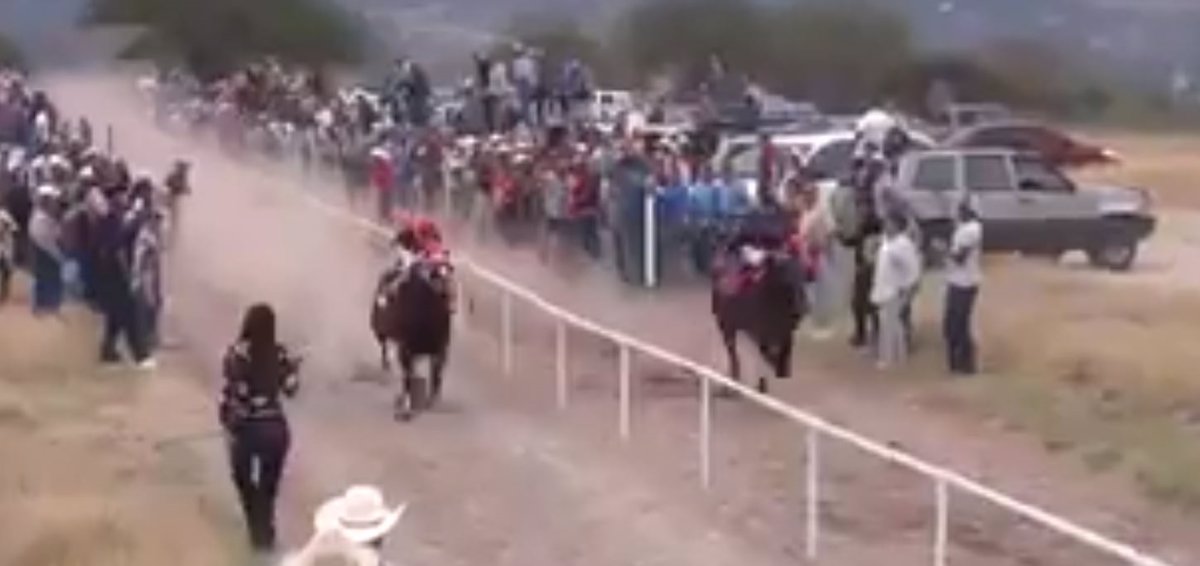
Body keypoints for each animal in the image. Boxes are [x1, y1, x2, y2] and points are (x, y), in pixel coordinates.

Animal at [369, 256, 453, 419]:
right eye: (436, 275)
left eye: (448, 273)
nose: (448, 296)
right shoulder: (406, 349)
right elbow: (408, 377)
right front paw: (406, 408)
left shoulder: (440, 350)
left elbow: (436, 376)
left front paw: (433, 400)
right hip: (380, 331)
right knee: (385, 348)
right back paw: (387, 366)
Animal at [705, 225, 811, 393]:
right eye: (784, 275)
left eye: (803, 274)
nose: (803, 308)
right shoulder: (760, 333)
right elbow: (765, 353)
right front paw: (769, 376)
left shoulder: (786, 332)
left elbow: (785, 349)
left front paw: (782, 369)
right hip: (725, 324)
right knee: (733, 351)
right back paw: (736, 376)